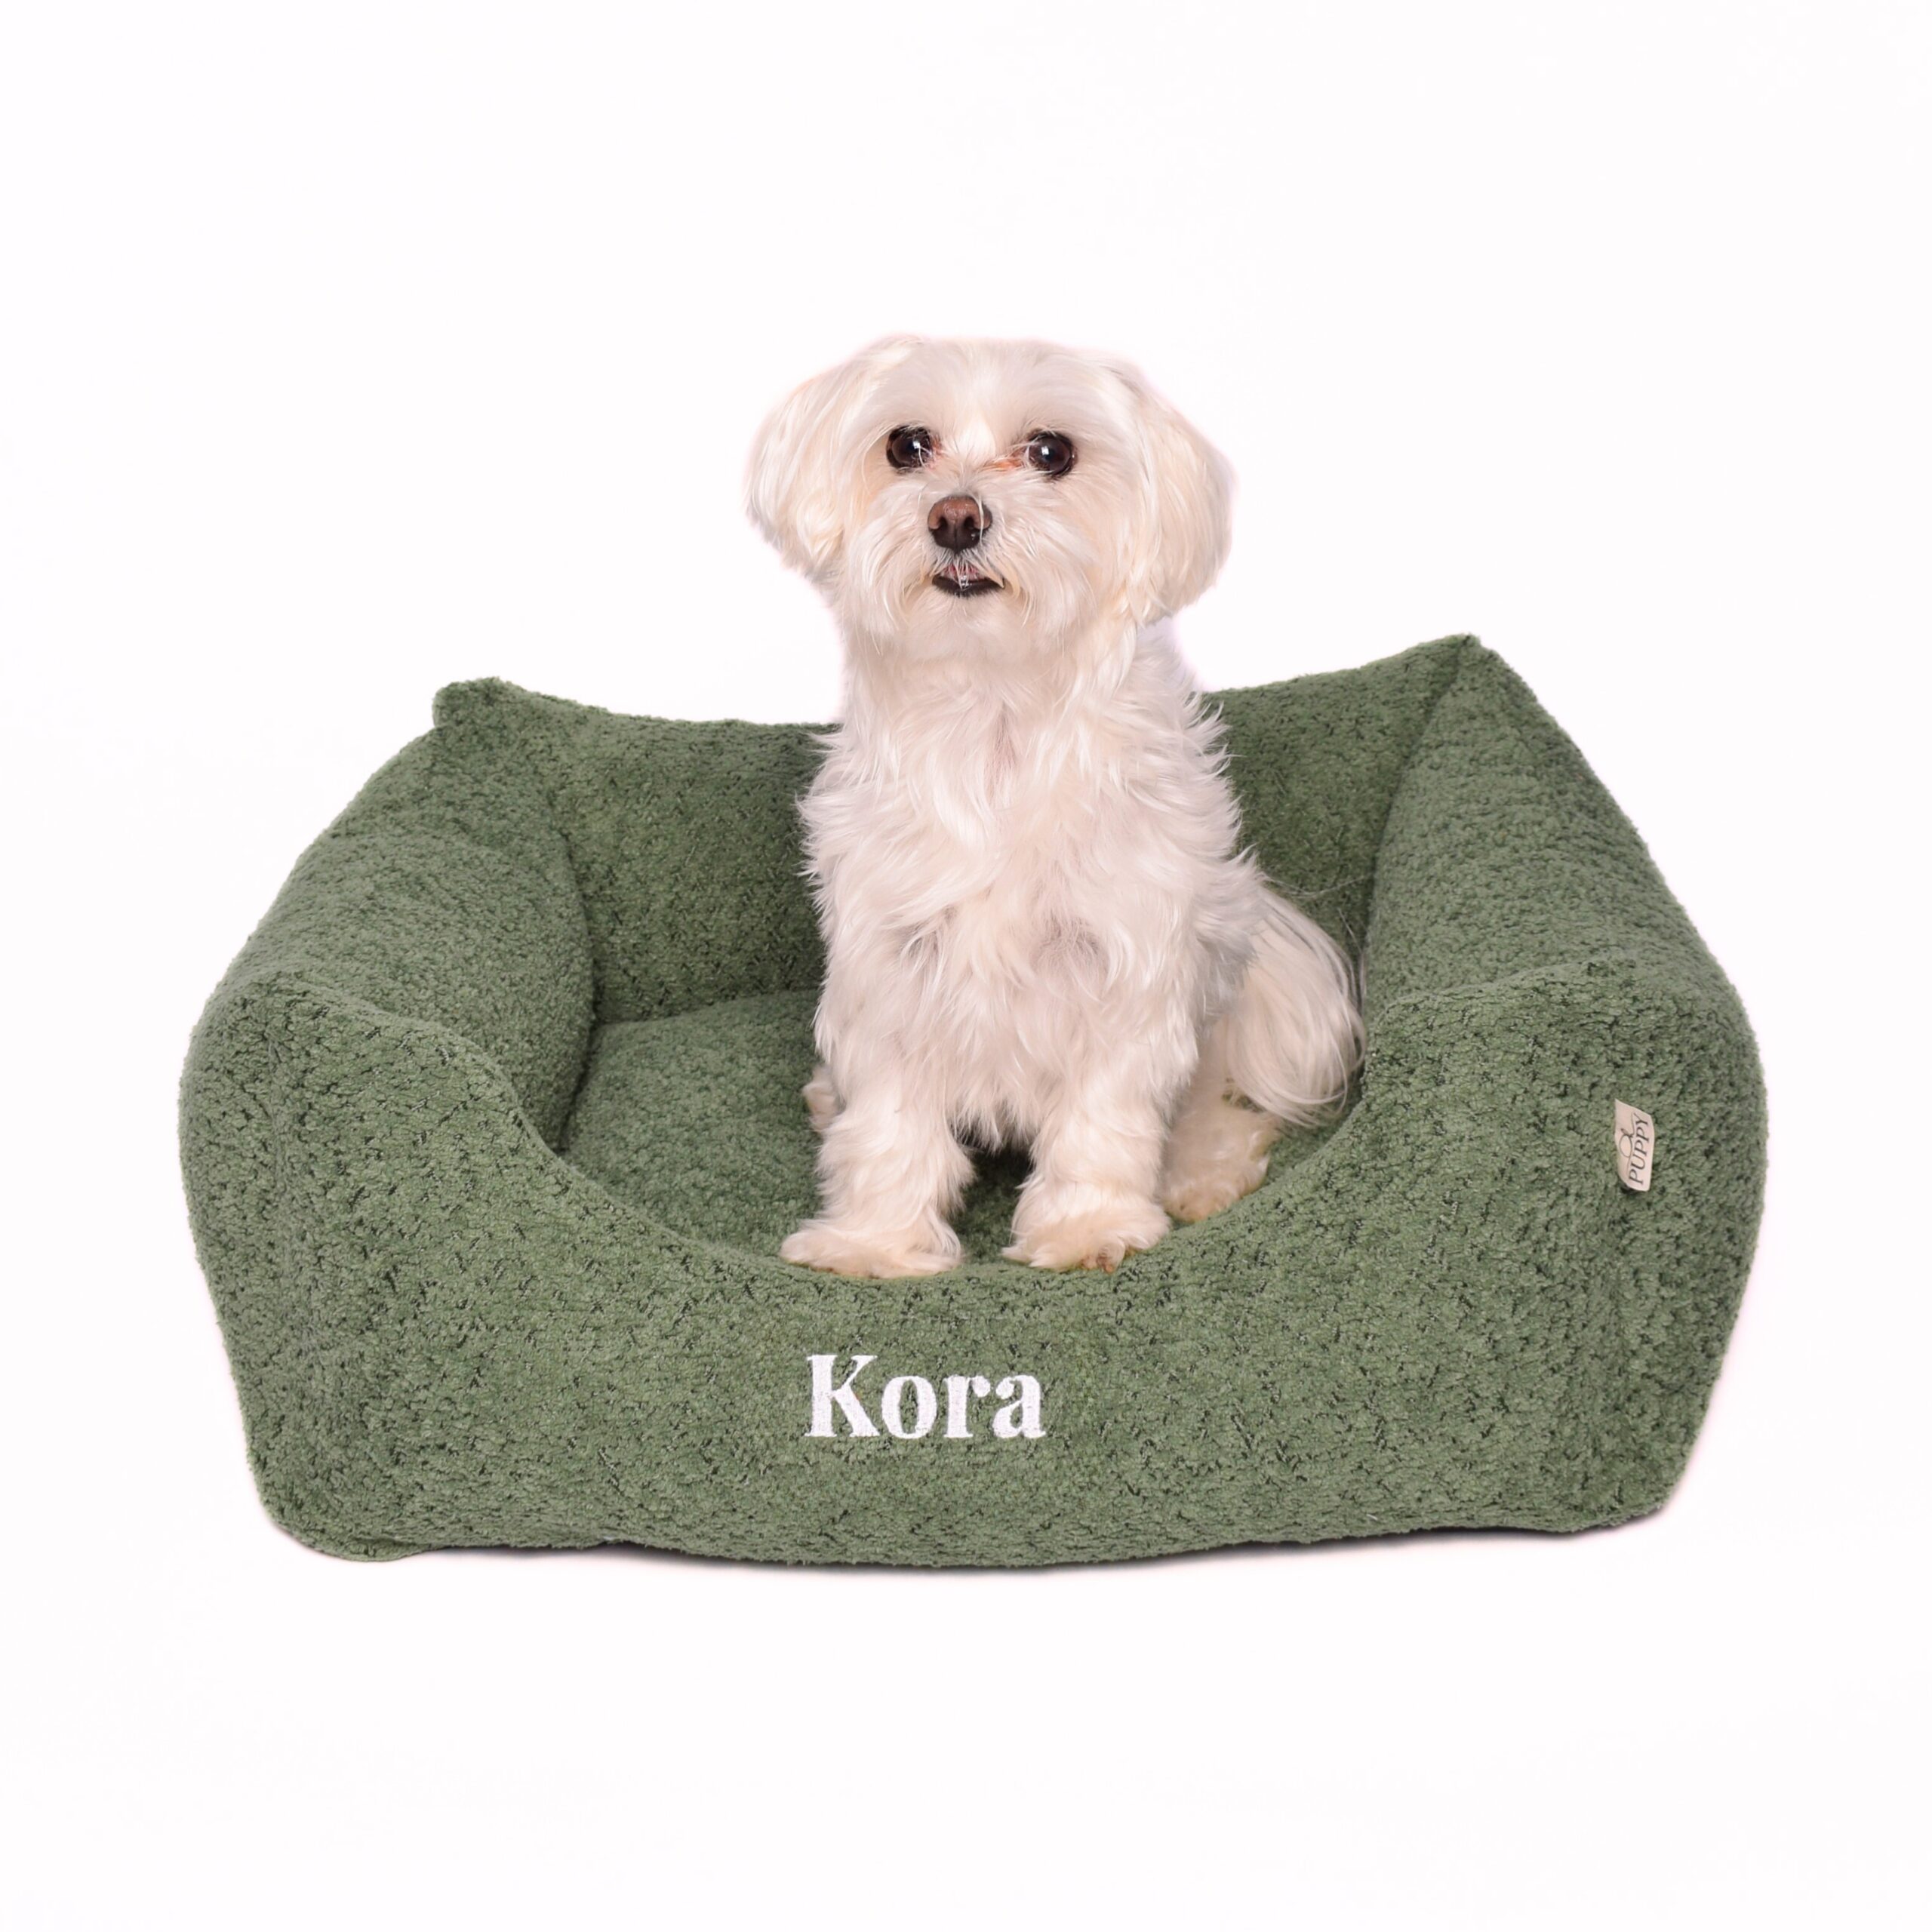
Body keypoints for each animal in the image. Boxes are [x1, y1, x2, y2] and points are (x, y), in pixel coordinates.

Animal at [747, 336, 1361, 1276]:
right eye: (906, 445)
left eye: (1050, 451)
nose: (956, 517)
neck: (997, 711)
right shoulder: (893, 967)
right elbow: (889, 1121)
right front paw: (874, 1242)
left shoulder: (1124, 968)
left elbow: (1102, 1118)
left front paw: (1086, 1227)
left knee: (1220, 1109)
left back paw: (1201, 1176)